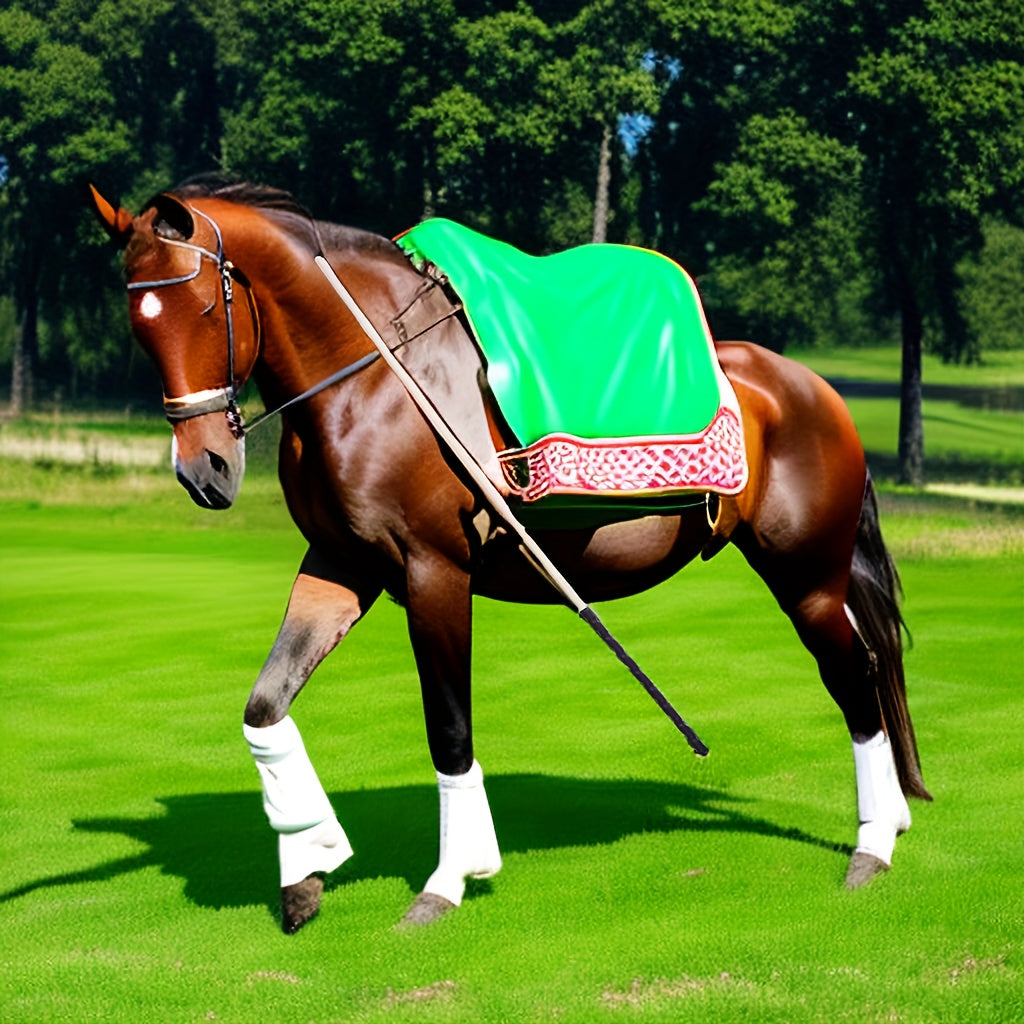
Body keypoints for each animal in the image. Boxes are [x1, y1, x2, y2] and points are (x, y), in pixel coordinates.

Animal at [90, 177, 930, 934]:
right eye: (138, 324)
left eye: (206, 308)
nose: (204, 472)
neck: (374, 380)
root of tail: (816, 390)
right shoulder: (339, 563)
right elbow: (265, 706)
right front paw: (308, 866)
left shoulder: (434, 573)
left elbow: (449, 730)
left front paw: (449, 880)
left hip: (806, 578)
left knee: (856, 677)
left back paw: (873, 848)